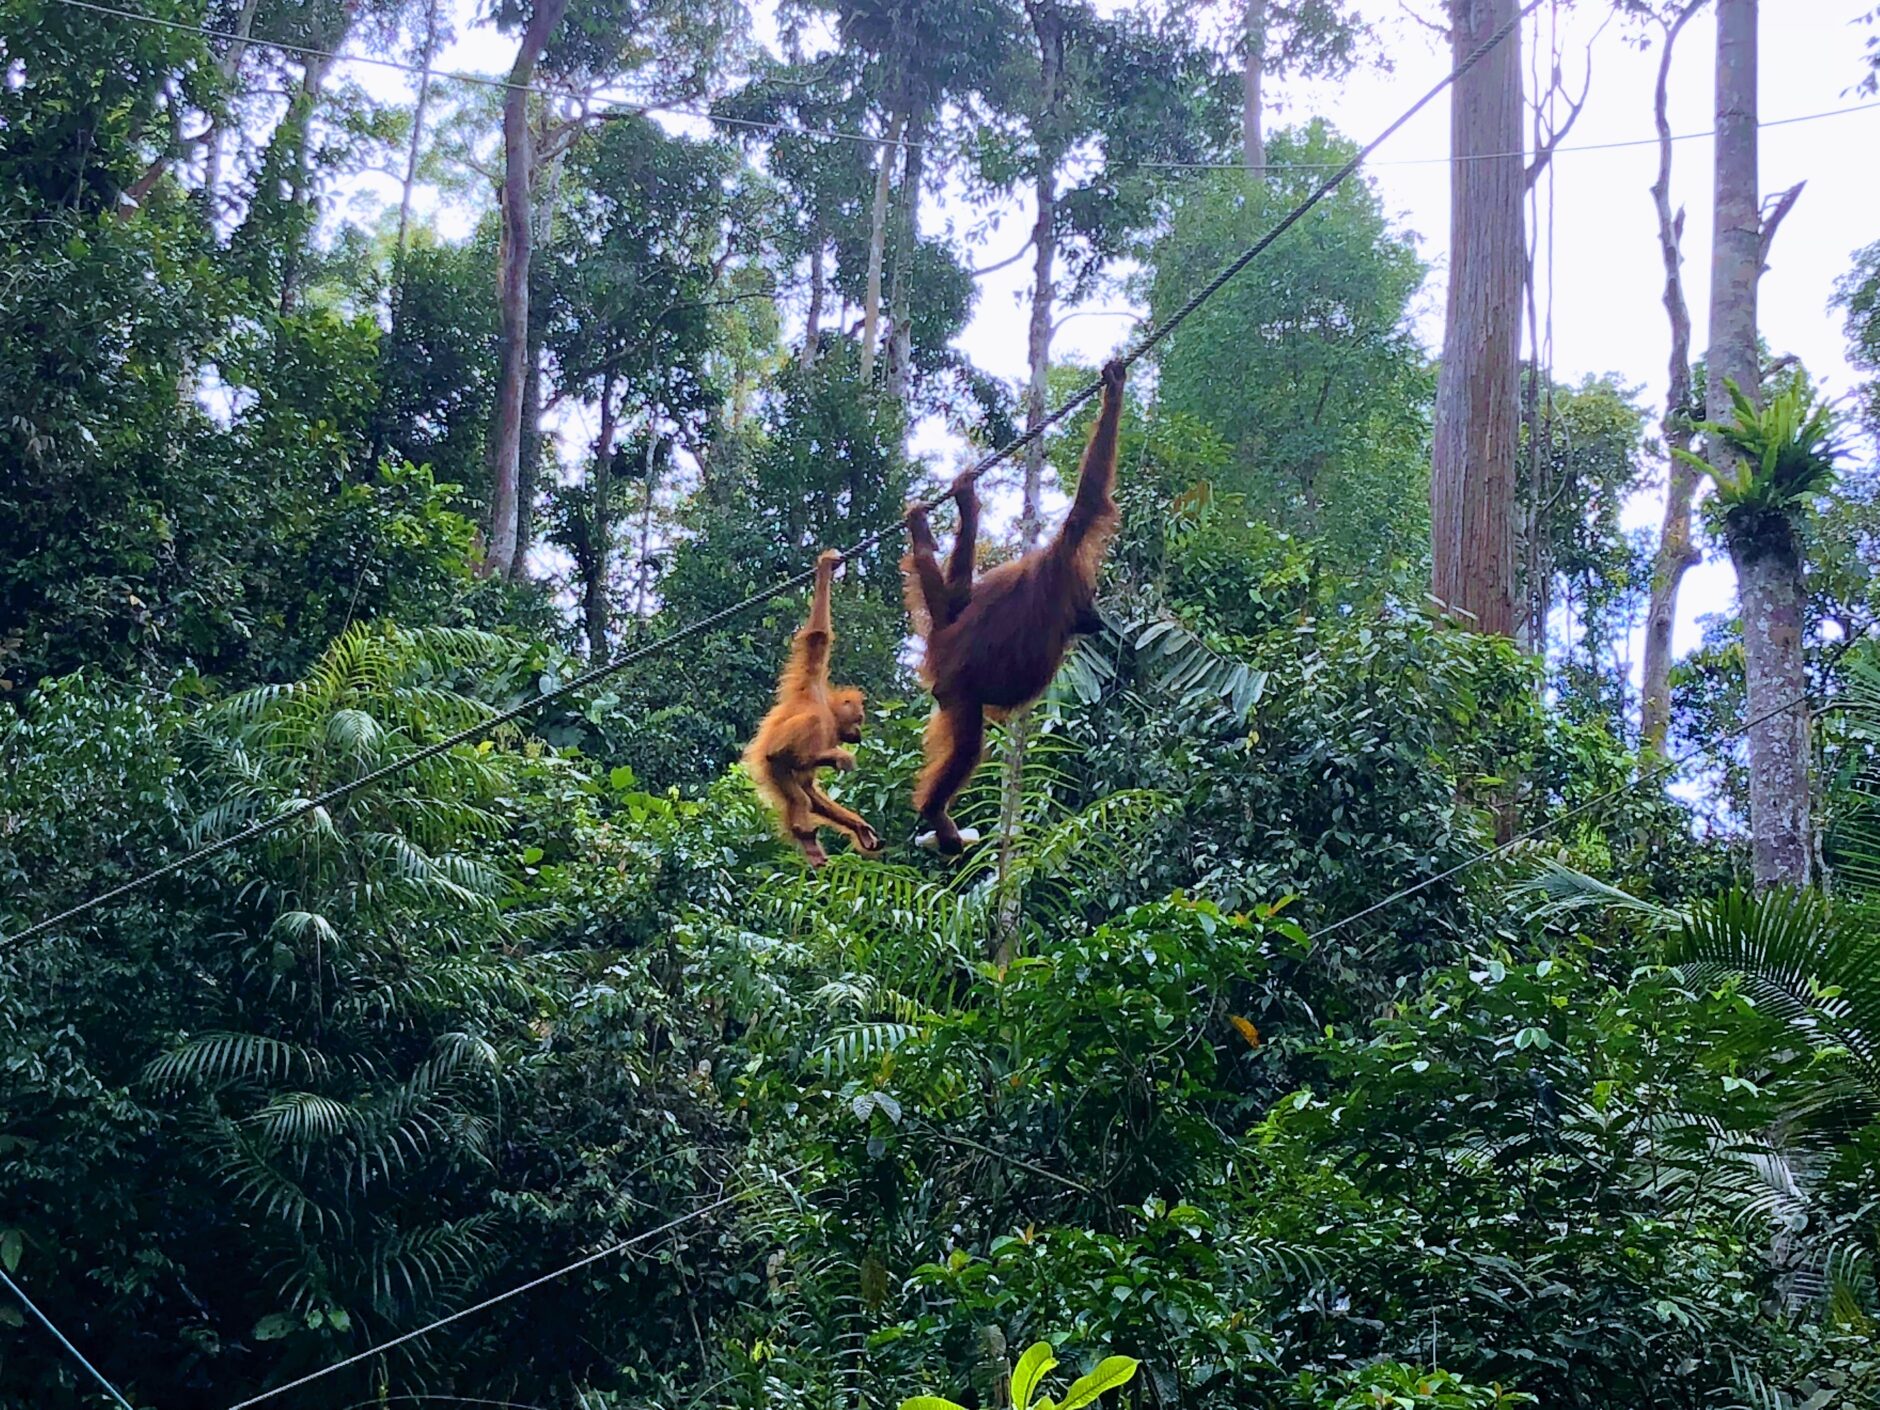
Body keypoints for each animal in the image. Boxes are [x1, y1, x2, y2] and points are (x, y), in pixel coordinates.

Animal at [742, 549, 882, 867]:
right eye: (859, 719)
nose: (859, 733)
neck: (828, 710)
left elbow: (809, 787)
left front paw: (860, 828)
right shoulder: (812, 678)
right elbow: (817, 636)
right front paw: (826, 566)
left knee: (801, 793)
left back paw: (809, 844)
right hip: (772, 762)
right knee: (793, 750)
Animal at [900, 358, 1126, 854]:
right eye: (1091, 599)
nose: (1099, 619)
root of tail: (940, 648)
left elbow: (958, 599)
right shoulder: (1065, 561)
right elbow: (1088, 502)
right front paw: (1115, 387)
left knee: (951, 603)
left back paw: (946, 519)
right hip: (957, 689)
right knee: (968, 743)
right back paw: (935, 813)